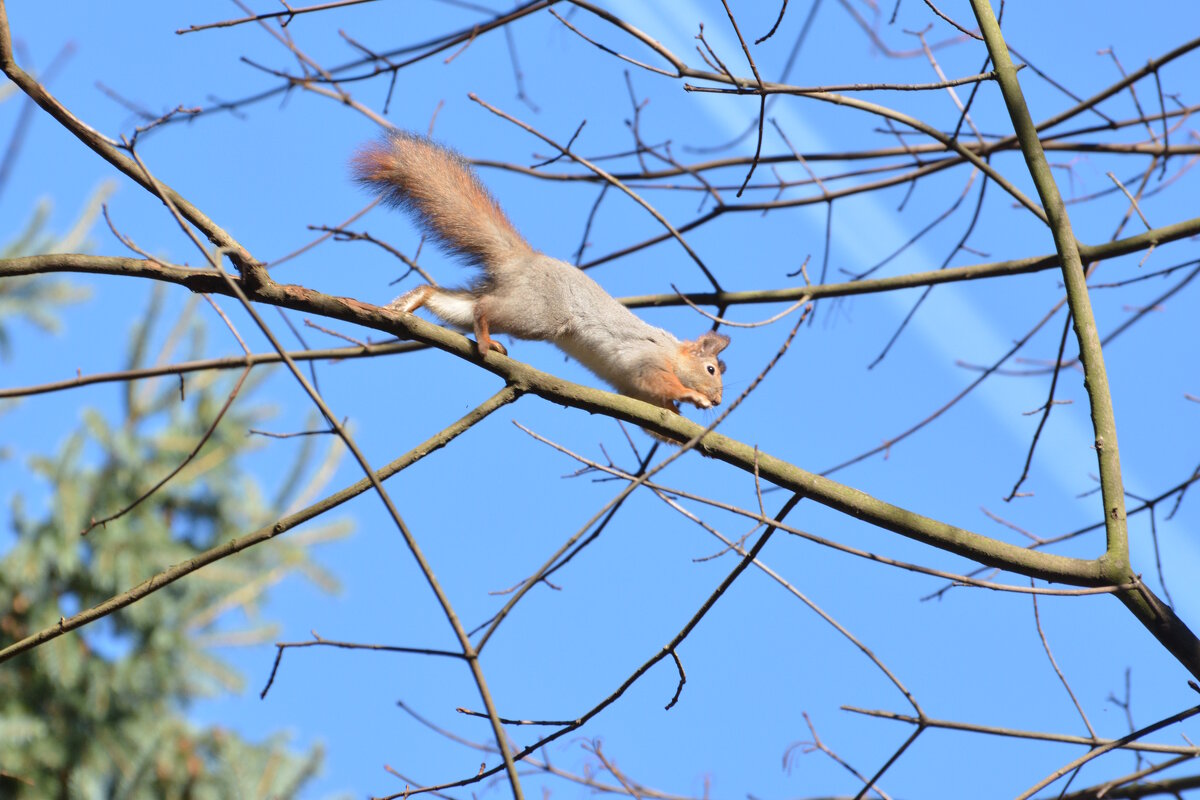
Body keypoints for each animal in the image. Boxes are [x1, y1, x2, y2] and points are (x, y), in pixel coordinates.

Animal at [350, 128, 729, 417]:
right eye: (711, 369)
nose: (717, 400)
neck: (672, 353)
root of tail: (525, 260)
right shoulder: (646, 358)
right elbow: (656, 379)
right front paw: (691, 396)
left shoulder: (632, 390)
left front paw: (678, 420)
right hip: (537, 313)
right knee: (484, 308)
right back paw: (485, 339)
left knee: (449, 299)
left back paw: (407, 305)